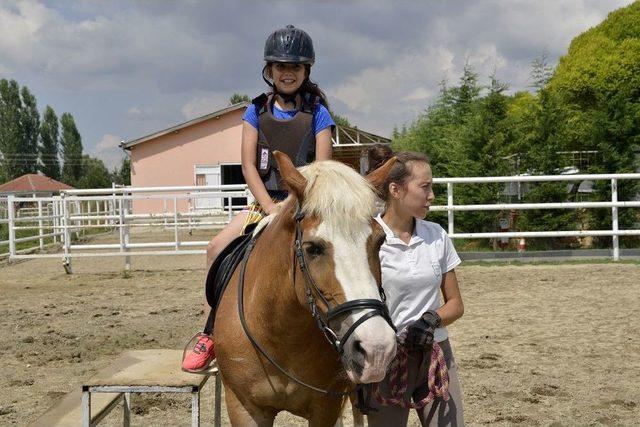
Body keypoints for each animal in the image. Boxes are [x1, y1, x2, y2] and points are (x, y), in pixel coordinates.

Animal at [212, 152, 398, 426]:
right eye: (313, 248)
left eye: (380, 241)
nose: (377, 347)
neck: (280, 334)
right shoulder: (244, 408)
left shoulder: (325, 407)